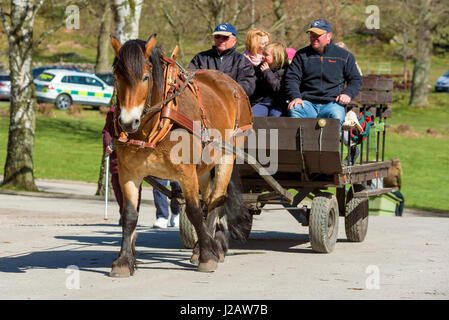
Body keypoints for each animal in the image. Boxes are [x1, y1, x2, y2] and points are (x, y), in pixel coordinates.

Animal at [109, 33, 252, 276]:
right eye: (117, 76)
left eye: (145, 77)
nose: (128, 122)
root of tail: (230, 83)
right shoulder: (129, 173)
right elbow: (129, 215)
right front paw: (123, 261)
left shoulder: (185, 173)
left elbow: (194, 211)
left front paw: (207, 256)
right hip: (203, 167)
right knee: (210, 199)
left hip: (226, 156)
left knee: (216, 201)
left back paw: (209, 248)